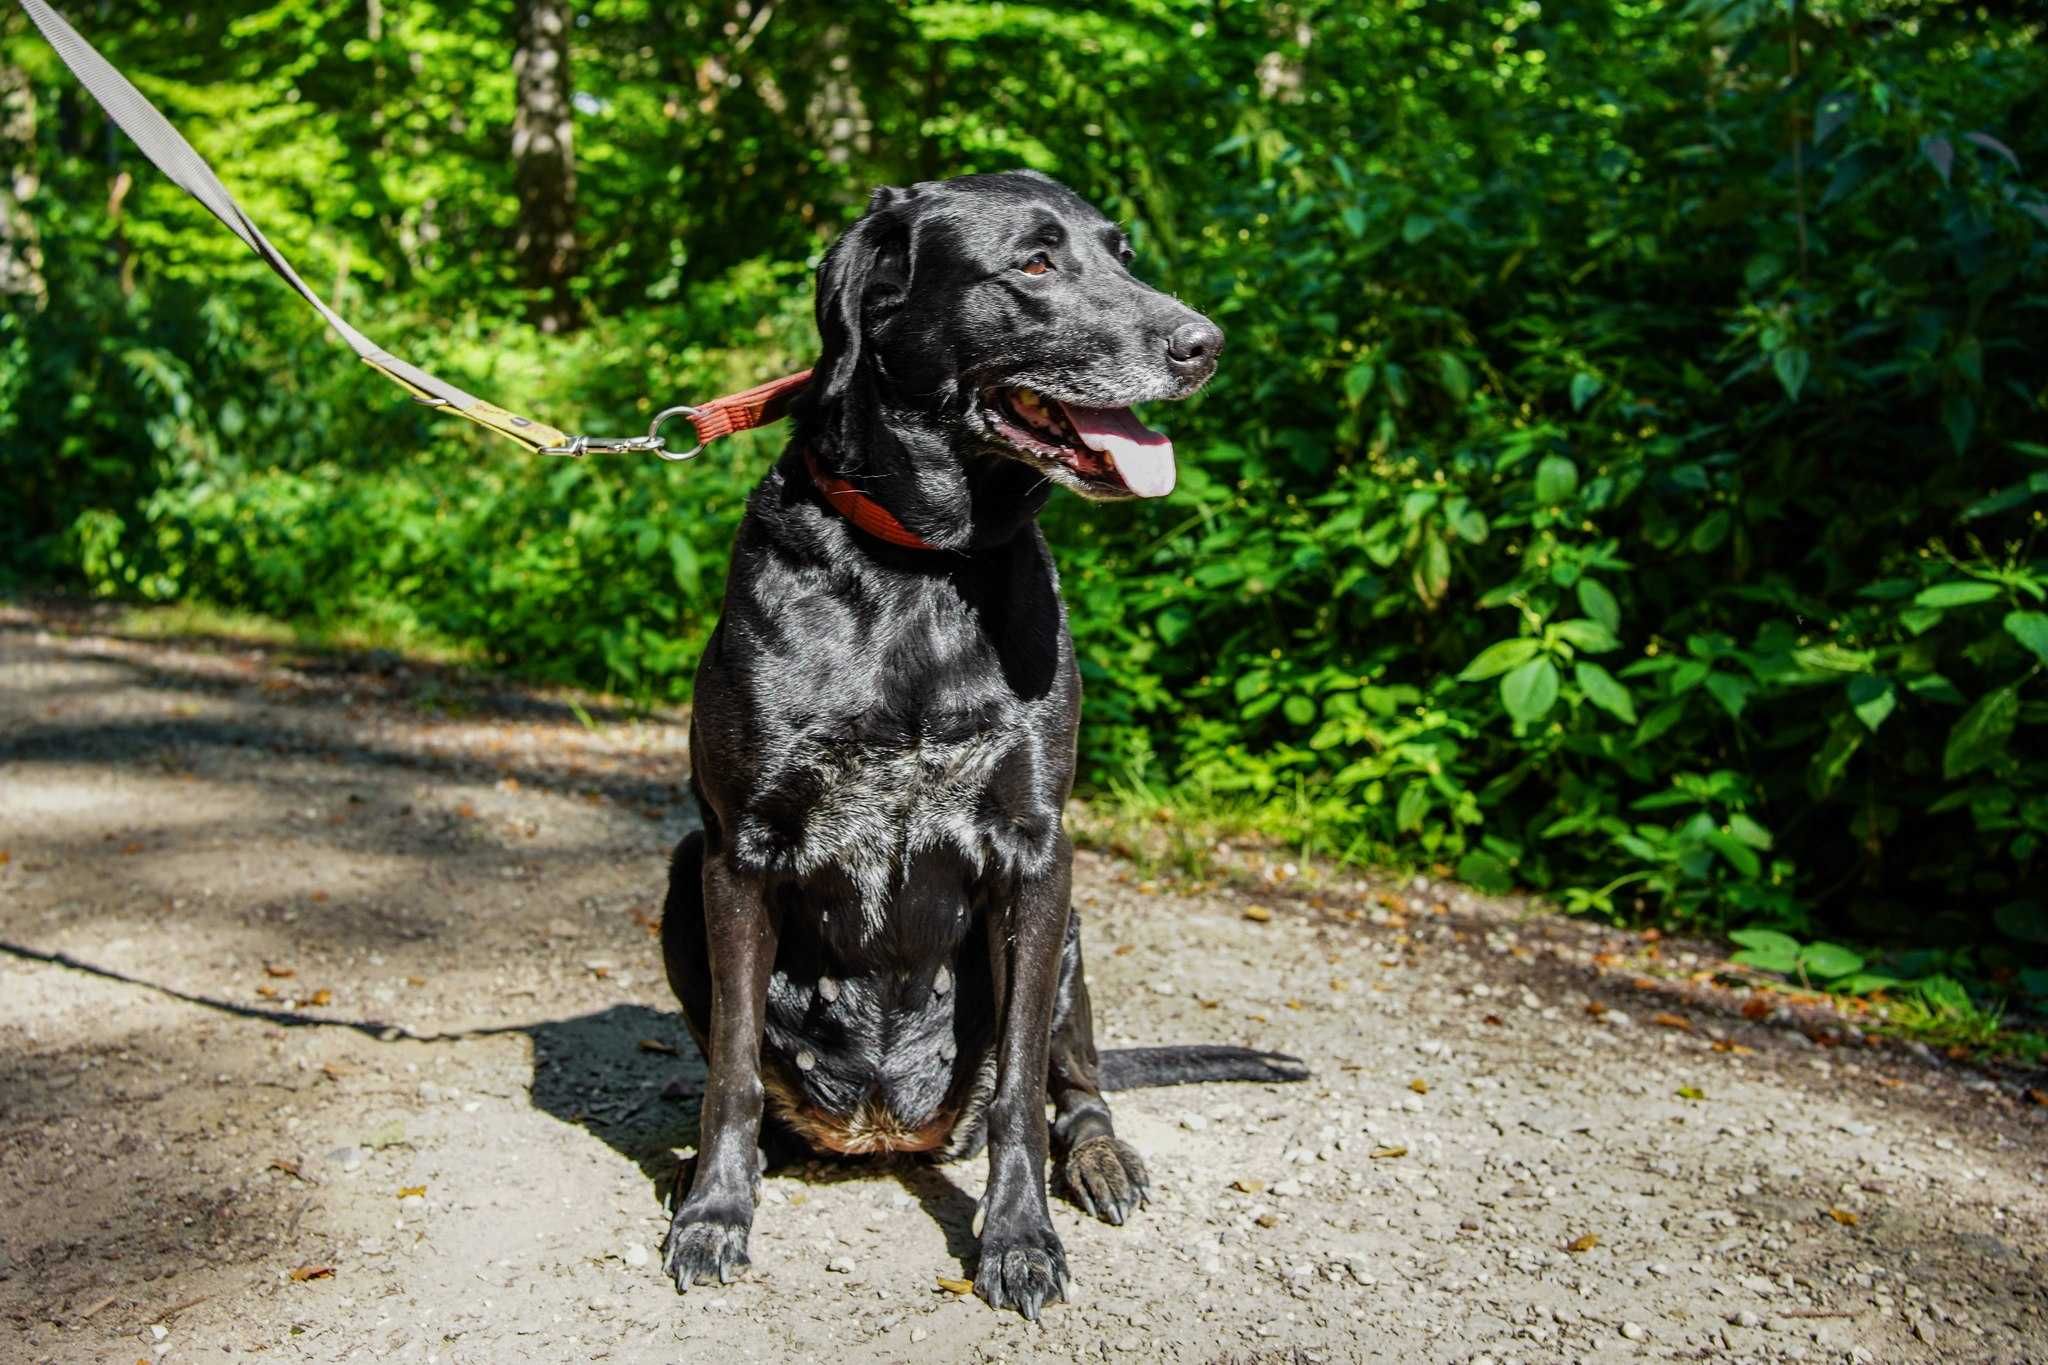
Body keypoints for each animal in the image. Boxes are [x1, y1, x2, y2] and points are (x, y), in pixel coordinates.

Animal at [663, 165, 1302, 1317]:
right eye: (1035, 263)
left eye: (1123, 253)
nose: (1205, 343)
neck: (921, 568)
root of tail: (885, 1127)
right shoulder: (738, 851)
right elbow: (729, 1072)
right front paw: (716, 1213)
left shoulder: (1036, 855)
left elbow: (1016, 1093)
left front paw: (1018, 1238)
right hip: (679, 880)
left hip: (1073, 933)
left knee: (1071, 1085)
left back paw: (1098, 1157)